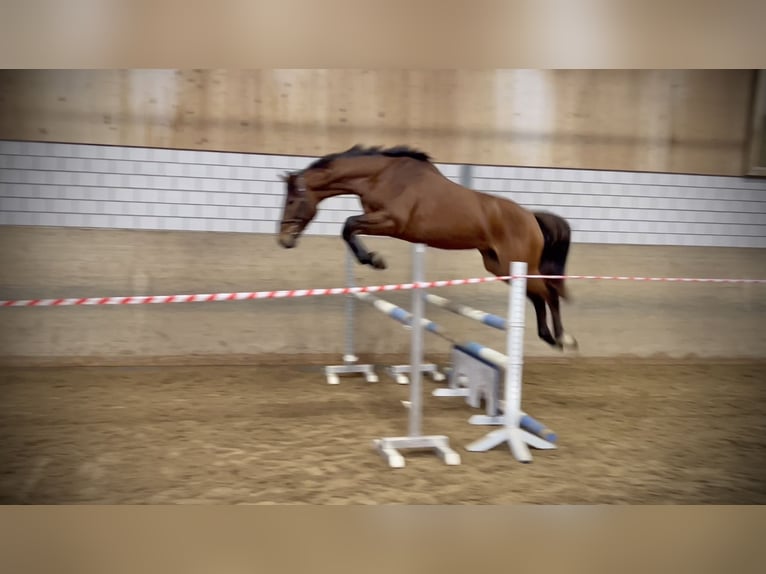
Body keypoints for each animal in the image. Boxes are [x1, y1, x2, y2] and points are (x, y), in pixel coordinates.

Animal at [277, 144, 577, 350]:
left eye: (291, 201)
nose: (283, 240)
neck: (381, 176)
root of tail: (531, 217)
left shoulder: (391, 222)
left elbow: (348, 225)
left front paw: (374, 259)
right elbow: (349, 228)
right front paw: (371, 258)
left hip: (517, 264)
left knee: (549, 293)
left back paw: (564, 338)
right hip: (500, 267)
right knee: (538, 296)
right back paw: (548, 337)